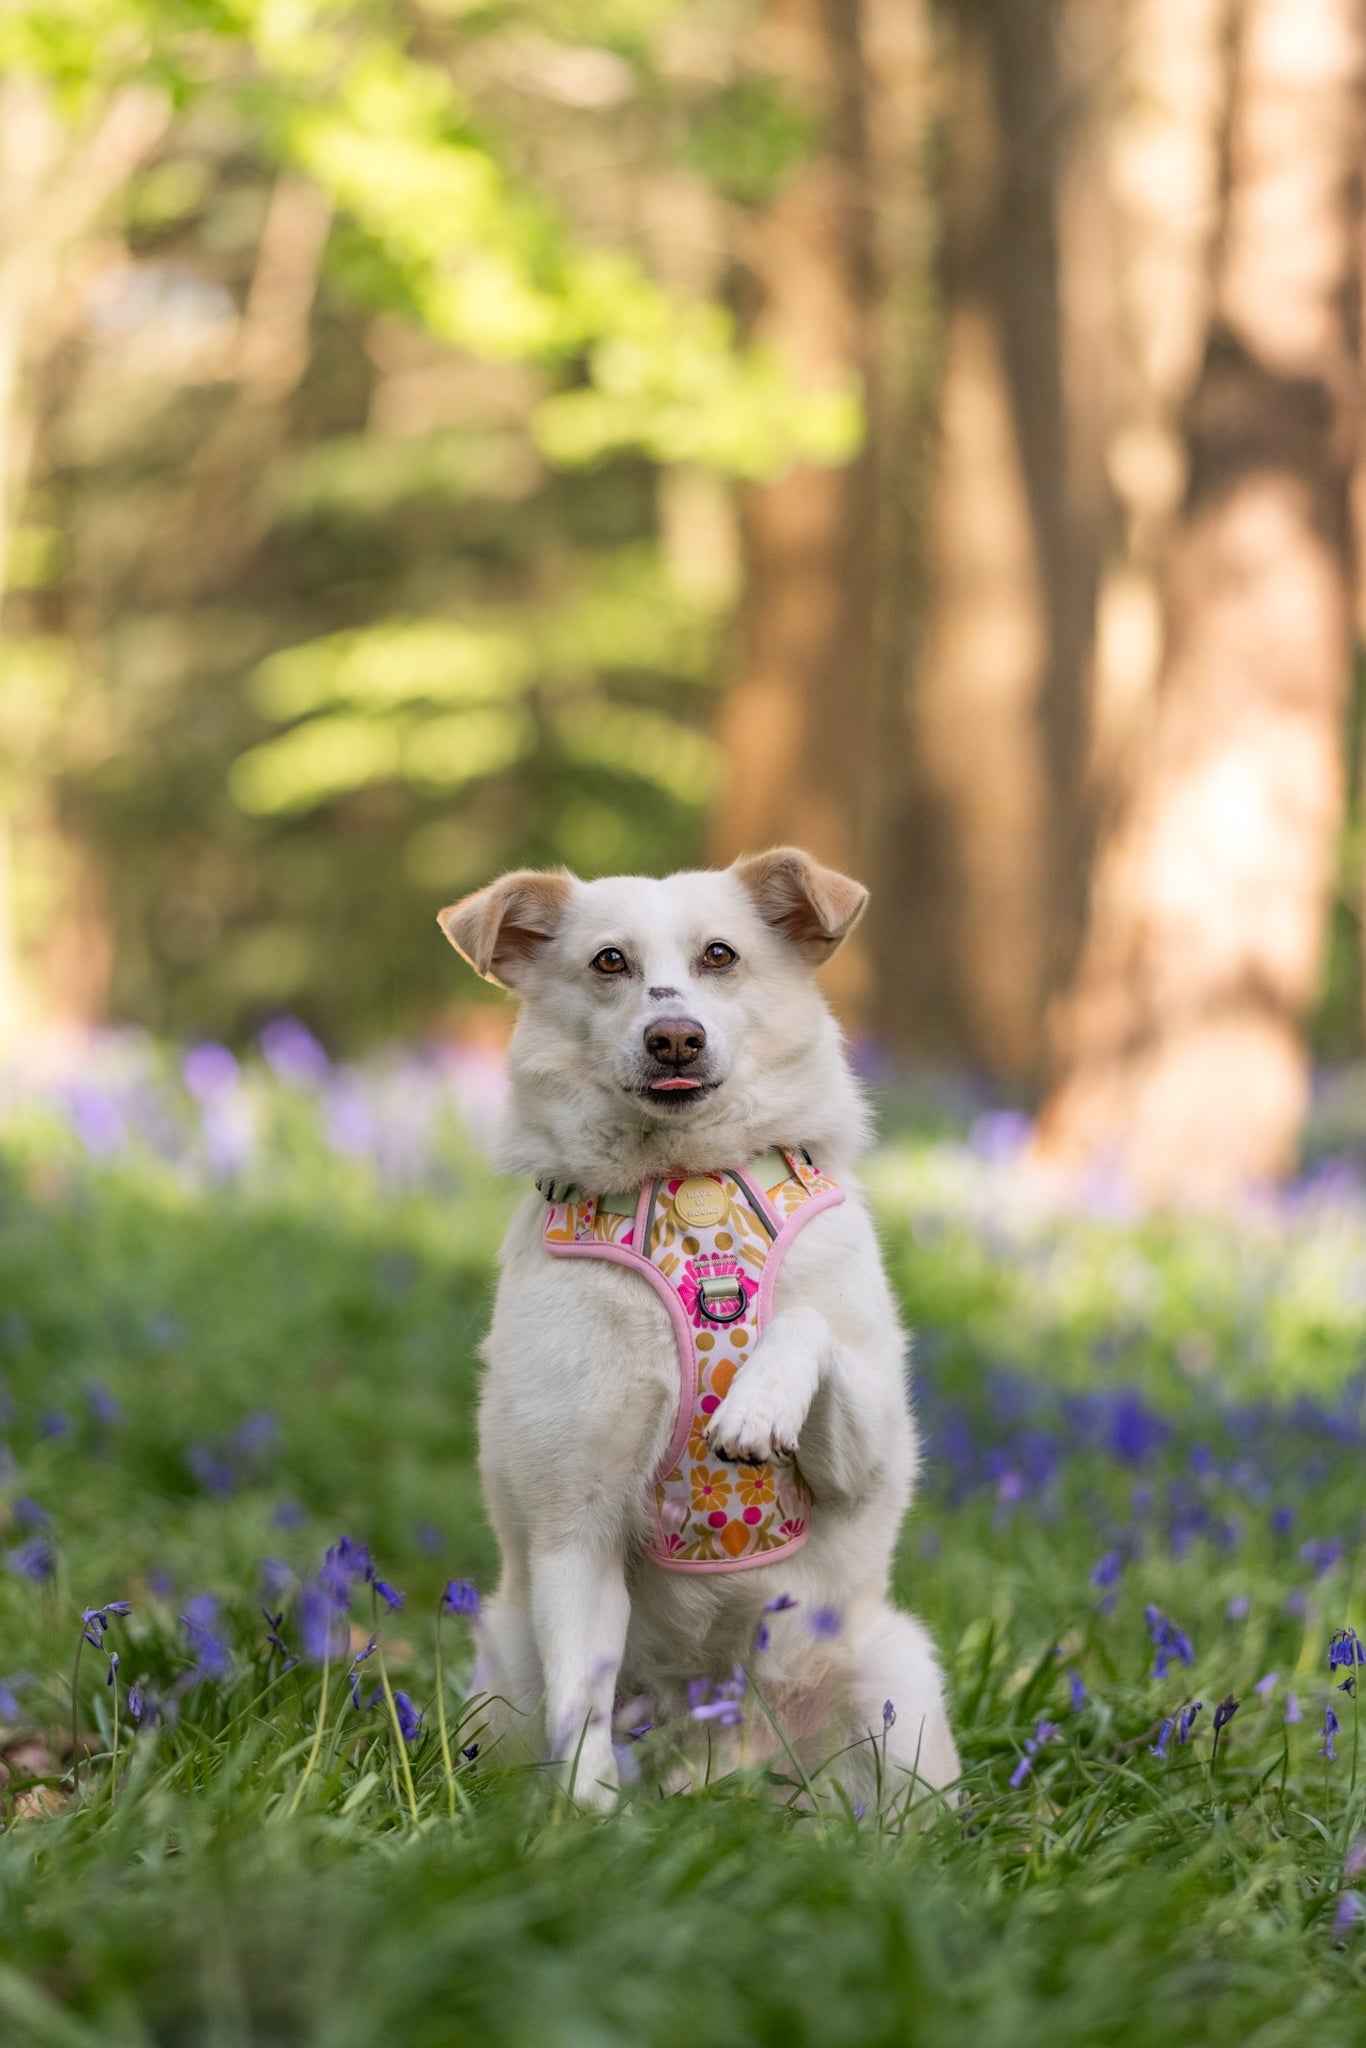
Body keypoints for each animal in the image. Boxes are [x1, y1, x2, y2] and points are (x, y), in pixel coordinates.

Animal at [444, 847, 958, 1810]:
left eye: (720, 955)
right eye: (609, 961)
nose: (673, 1036)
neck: (686, 1188)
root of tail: (724, 1761)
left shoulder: (865, 1456)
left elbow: (804, 1323)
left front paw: (755, 1407)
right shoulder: (573, 1528)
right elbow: (583, 1706)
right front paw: (586, 1818)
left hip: (897, 1684)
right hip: (502, 1670)